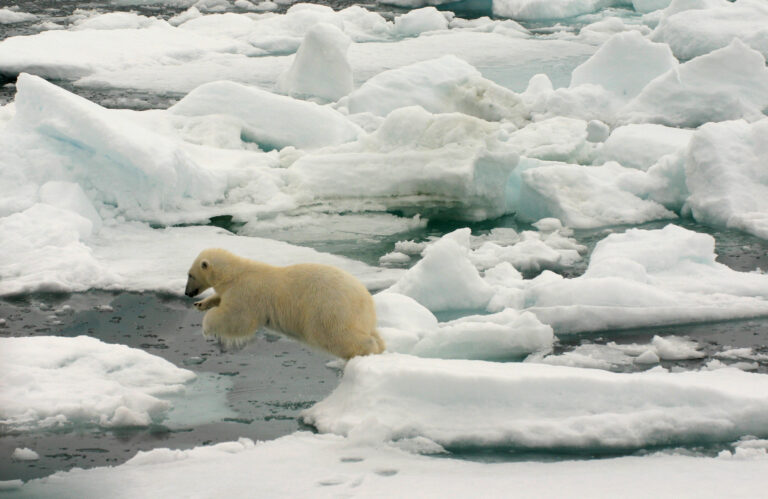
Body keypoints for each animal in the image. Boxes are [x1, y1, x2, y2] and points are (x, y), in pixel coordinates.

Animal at [184, 250, 388, 360]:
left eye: (190, 275)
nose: (187, 293)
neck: (233, 273)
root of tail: (364, 298)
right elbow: (220, 299)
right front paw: (201, 303)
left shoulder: (246, 293)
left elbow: (236, 319)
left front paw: (206, 327)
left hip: (328, 308)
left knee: (335, 335)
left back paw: (368, 350)